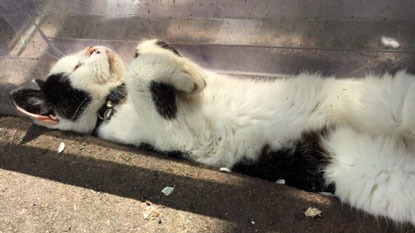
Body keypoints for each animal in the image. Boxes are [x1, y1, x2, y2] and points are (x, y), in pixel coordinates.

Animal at [8, 39, 415, 225]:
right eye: (76, 66)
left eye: (83, 53)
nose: (95, 47)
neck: (114, 101)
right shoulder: (177, 135)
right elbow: (143, 75)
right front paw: (187, 76)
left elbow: (145, 57)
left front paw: (165, 55)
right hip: (375, 170)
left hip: (391, 101)